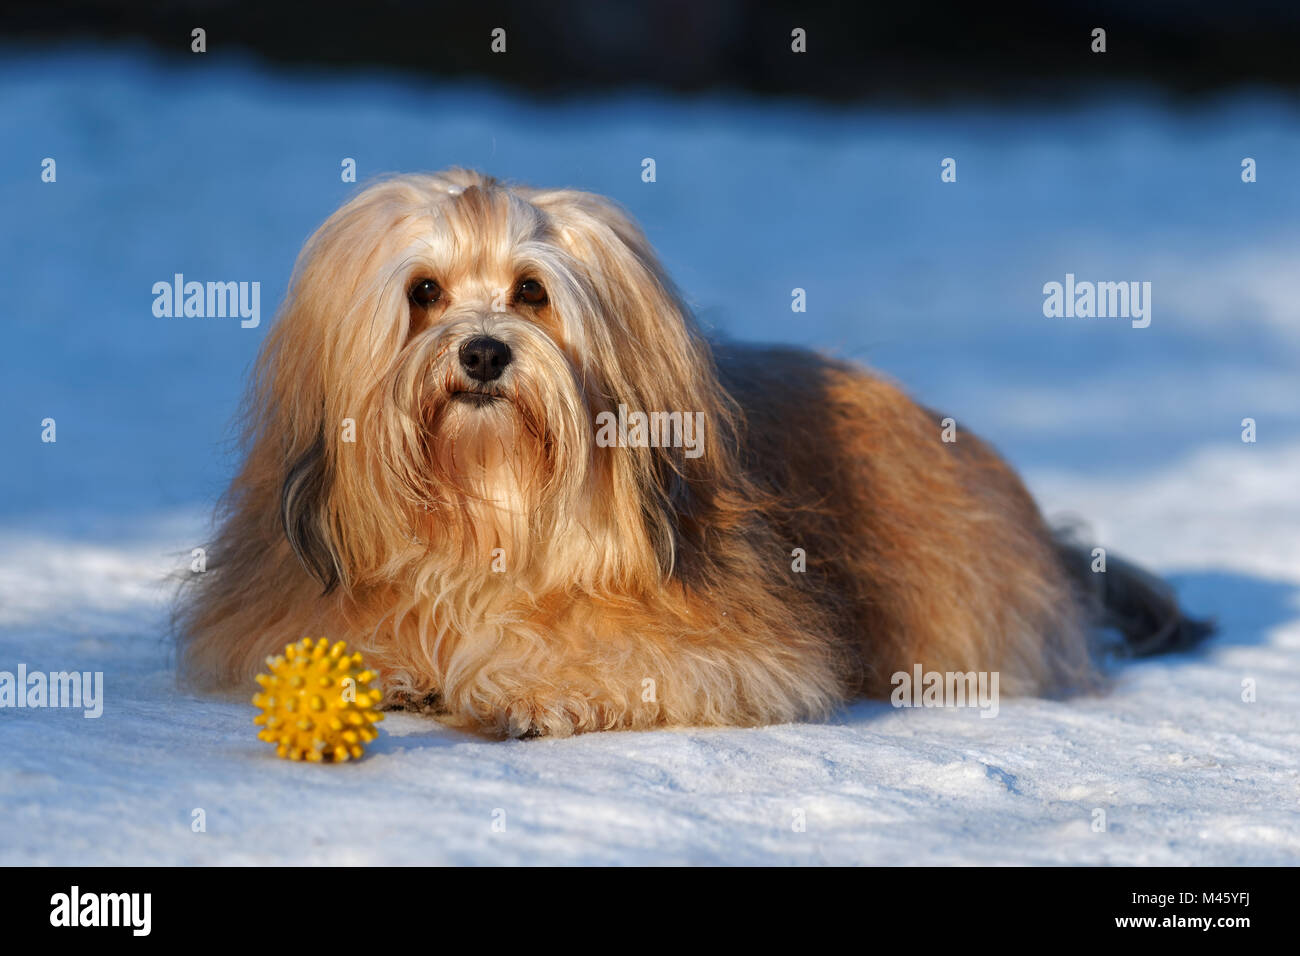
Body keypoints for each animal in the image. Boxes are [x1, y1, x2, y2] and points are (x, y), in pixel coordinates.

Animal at [178, 167, 1211, 738]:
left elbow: (632, 662)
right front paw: (396, 669)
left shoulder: (736, 643)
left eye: (531, 292)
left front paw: (527, 687)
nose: (482, 354)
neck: (492, 512)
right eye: (424, 292)